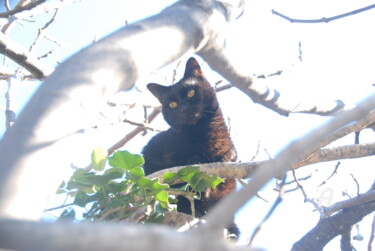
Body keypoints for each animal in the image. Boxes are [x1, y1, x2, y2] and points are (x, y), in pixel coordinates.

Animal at [142, 56, 239, 237]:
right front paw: (196, 160)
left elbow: (227, 160)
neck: (204, 131)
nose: (184, 108)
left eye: (191, 93)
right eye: (173, 104)